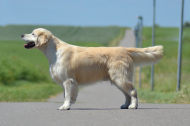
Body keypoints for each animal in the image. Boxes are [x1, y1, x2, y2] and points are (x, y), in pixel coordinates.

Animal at [21, 28, 163, 110]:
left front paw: (65, 106)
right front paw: (67, 105)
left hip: (120, 77)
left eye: (33, 34)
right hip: (117, 79)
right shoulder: (66, 81)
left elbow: (68, 95)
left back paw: (133, 106)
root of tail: (124, 49)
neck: (54, 51)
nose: (22, 34)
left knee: (133, 91)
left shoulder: (68, 80)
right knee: (127, 93)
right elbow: (67, 95)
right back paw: (125, 105)